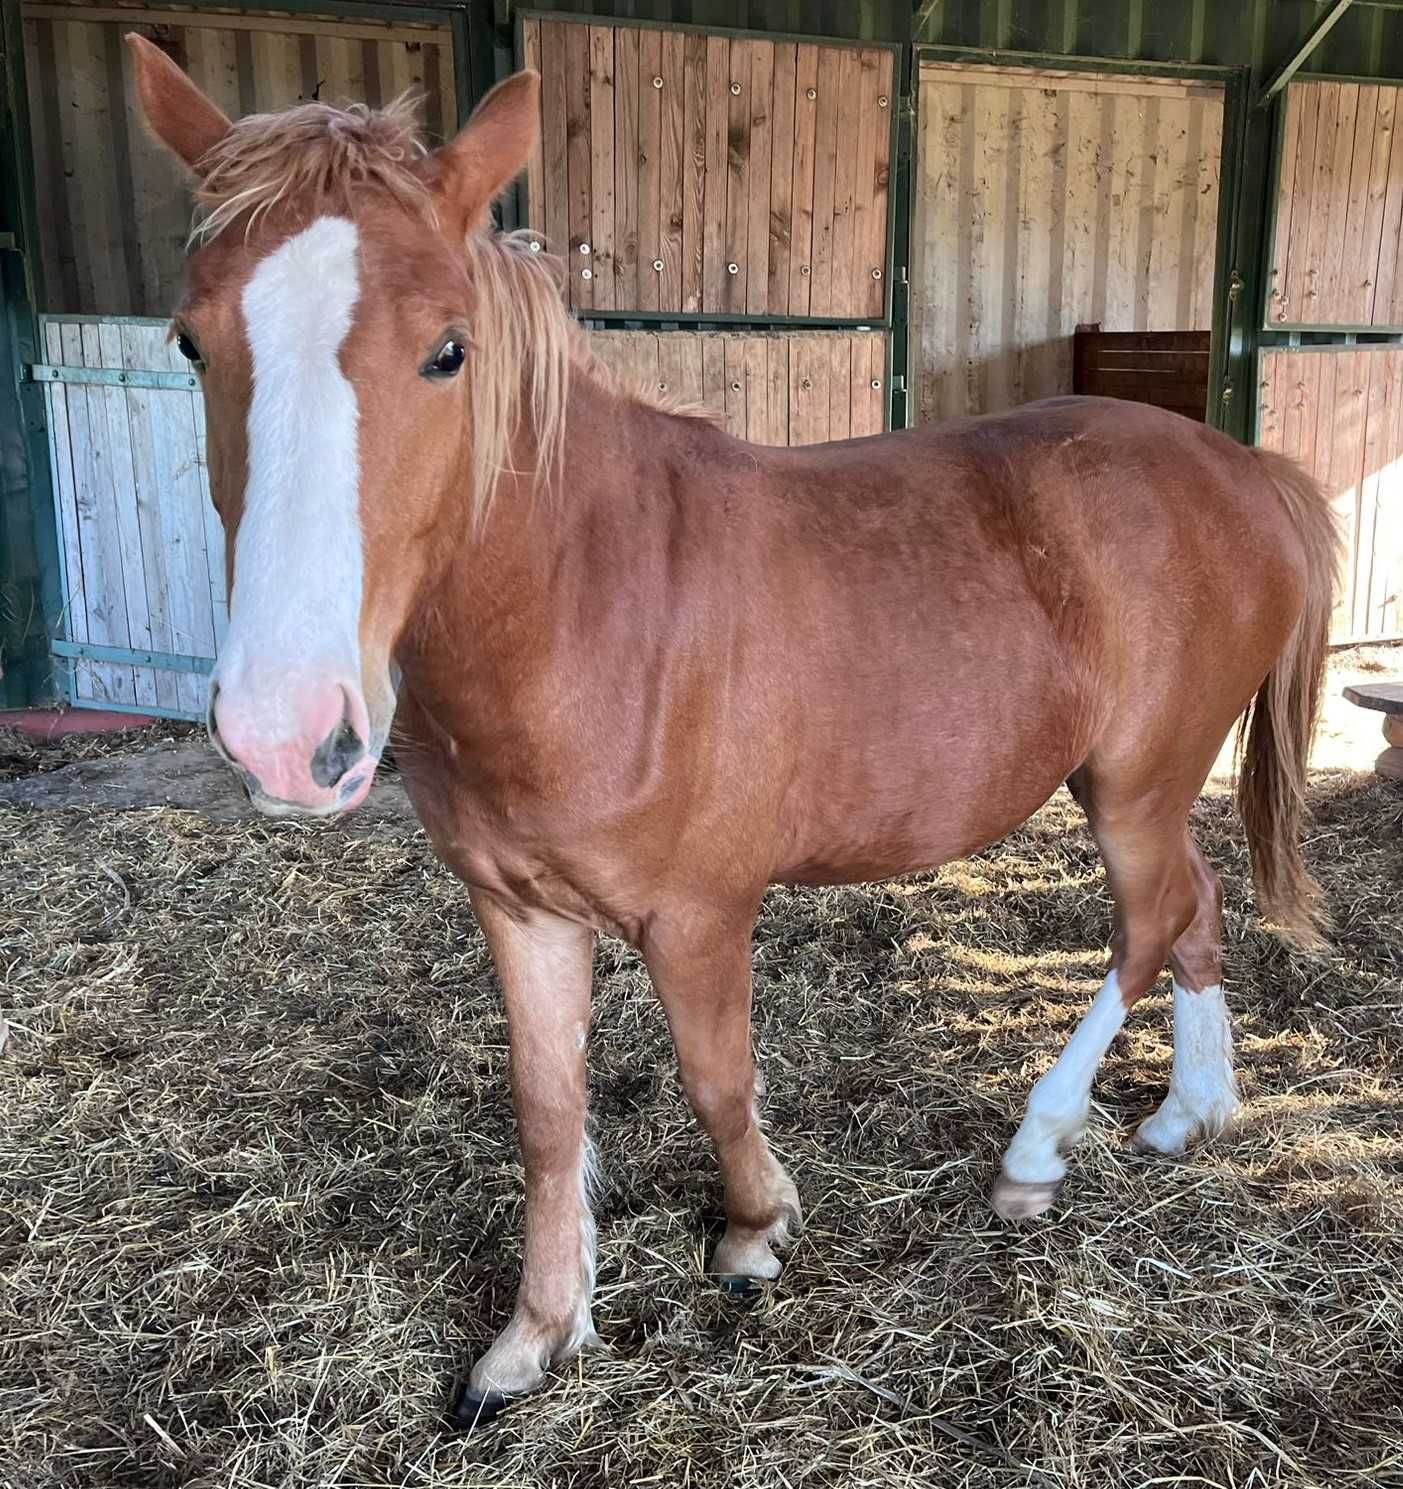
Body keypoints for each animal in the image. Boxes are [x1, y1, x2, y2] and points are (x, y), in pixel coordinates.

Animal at [128, 40, 1340, 1423]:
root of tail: (1245, 469)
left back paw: (1034, 1150)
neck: (589, 603)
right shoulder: (517, 910)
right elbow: (545, 1111)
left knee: (1149, 923)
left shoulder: (698, 914)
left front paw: (753, 1231)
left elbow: (717, 1079)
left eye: (447, 351)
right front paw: (535, 1333)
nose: (286, 731)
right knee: (1192, 911)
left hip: (1133, 781)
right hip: (1140, 786)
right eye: (189, 340)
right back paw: (1191, 1111)